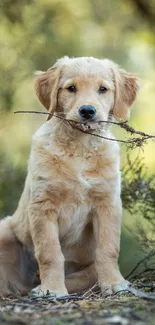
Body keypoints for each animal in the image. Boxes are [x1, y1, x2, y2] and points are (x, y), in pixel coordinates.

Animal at [0, 56, 139, 296]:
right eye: (71, 88)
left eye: (103, 89)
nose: (87, 111)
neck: (80, 147)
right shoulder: (43, 205)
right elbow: (50, 252)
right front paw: (53, 289)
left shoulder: (107, 203)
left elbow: (108, 249)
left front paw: (114, 283)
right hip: (5, 231)